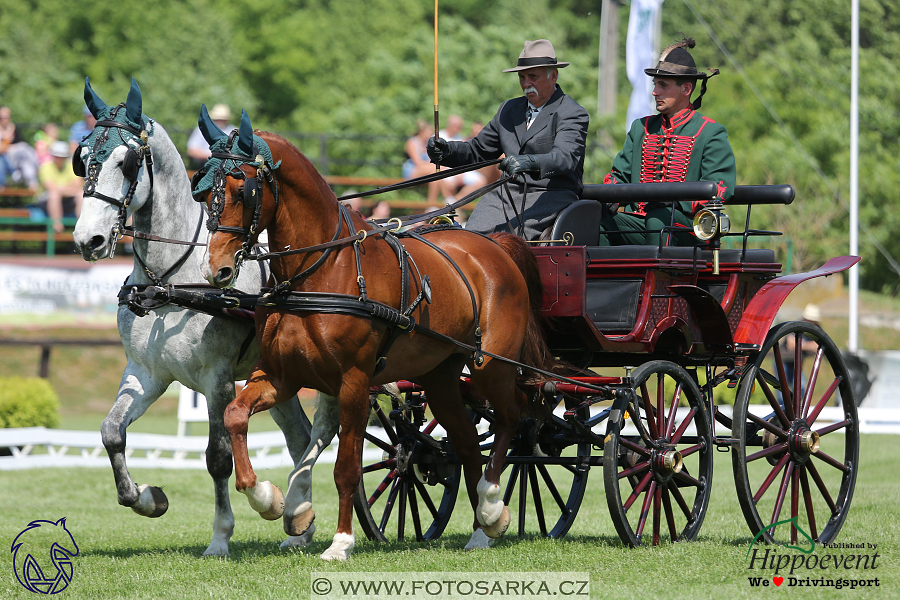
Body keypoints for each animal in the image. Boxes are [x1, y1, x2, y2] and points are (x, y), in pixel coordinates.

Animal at [193, 106, 552, 556]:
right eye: (203, 190)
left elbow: (346, 467)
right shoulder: (281, 375)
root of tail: (495, 244)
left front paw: (341, 542)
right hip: (440, 376)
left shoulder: (354, 382)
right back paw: (481, 530)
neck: (319, 271)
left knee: (512, 415)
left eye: (243, 191)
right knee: (469, 441)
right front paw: (270, 500)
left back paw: (490, 502)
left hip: (491, 365)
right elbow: (236, 415)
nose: (216, 270)